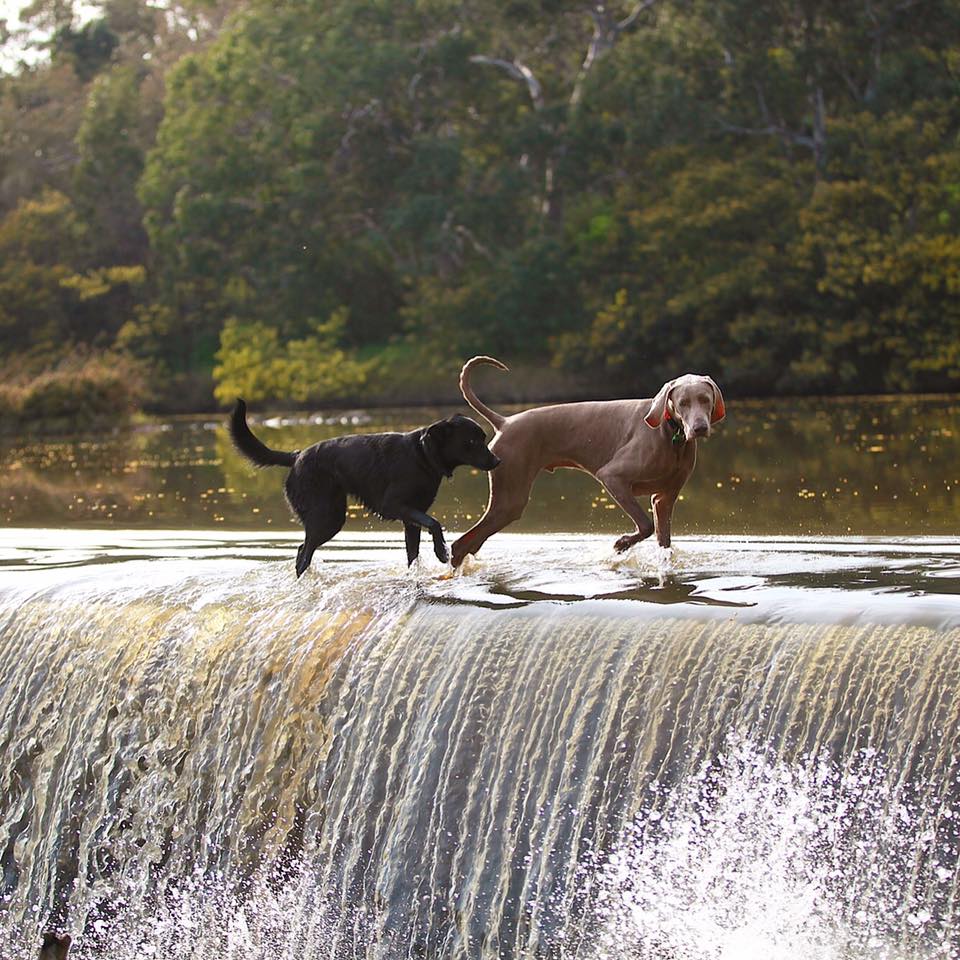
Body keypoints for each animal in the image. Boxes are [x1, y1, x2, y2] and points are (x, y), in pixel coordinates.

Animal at [228, 400, 498, 572]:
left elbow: (413, 554)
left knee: (302, 551)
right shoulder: (393, 506)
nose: (497, 461)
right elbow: (434, 523)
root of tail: (296, 456)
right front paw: (442, 552)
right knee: (304, 553)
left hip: (329, 516)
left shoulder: (411, 519)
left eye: (483, 438)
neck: (422, 454)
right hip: (327, 518)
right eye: (471, 441)